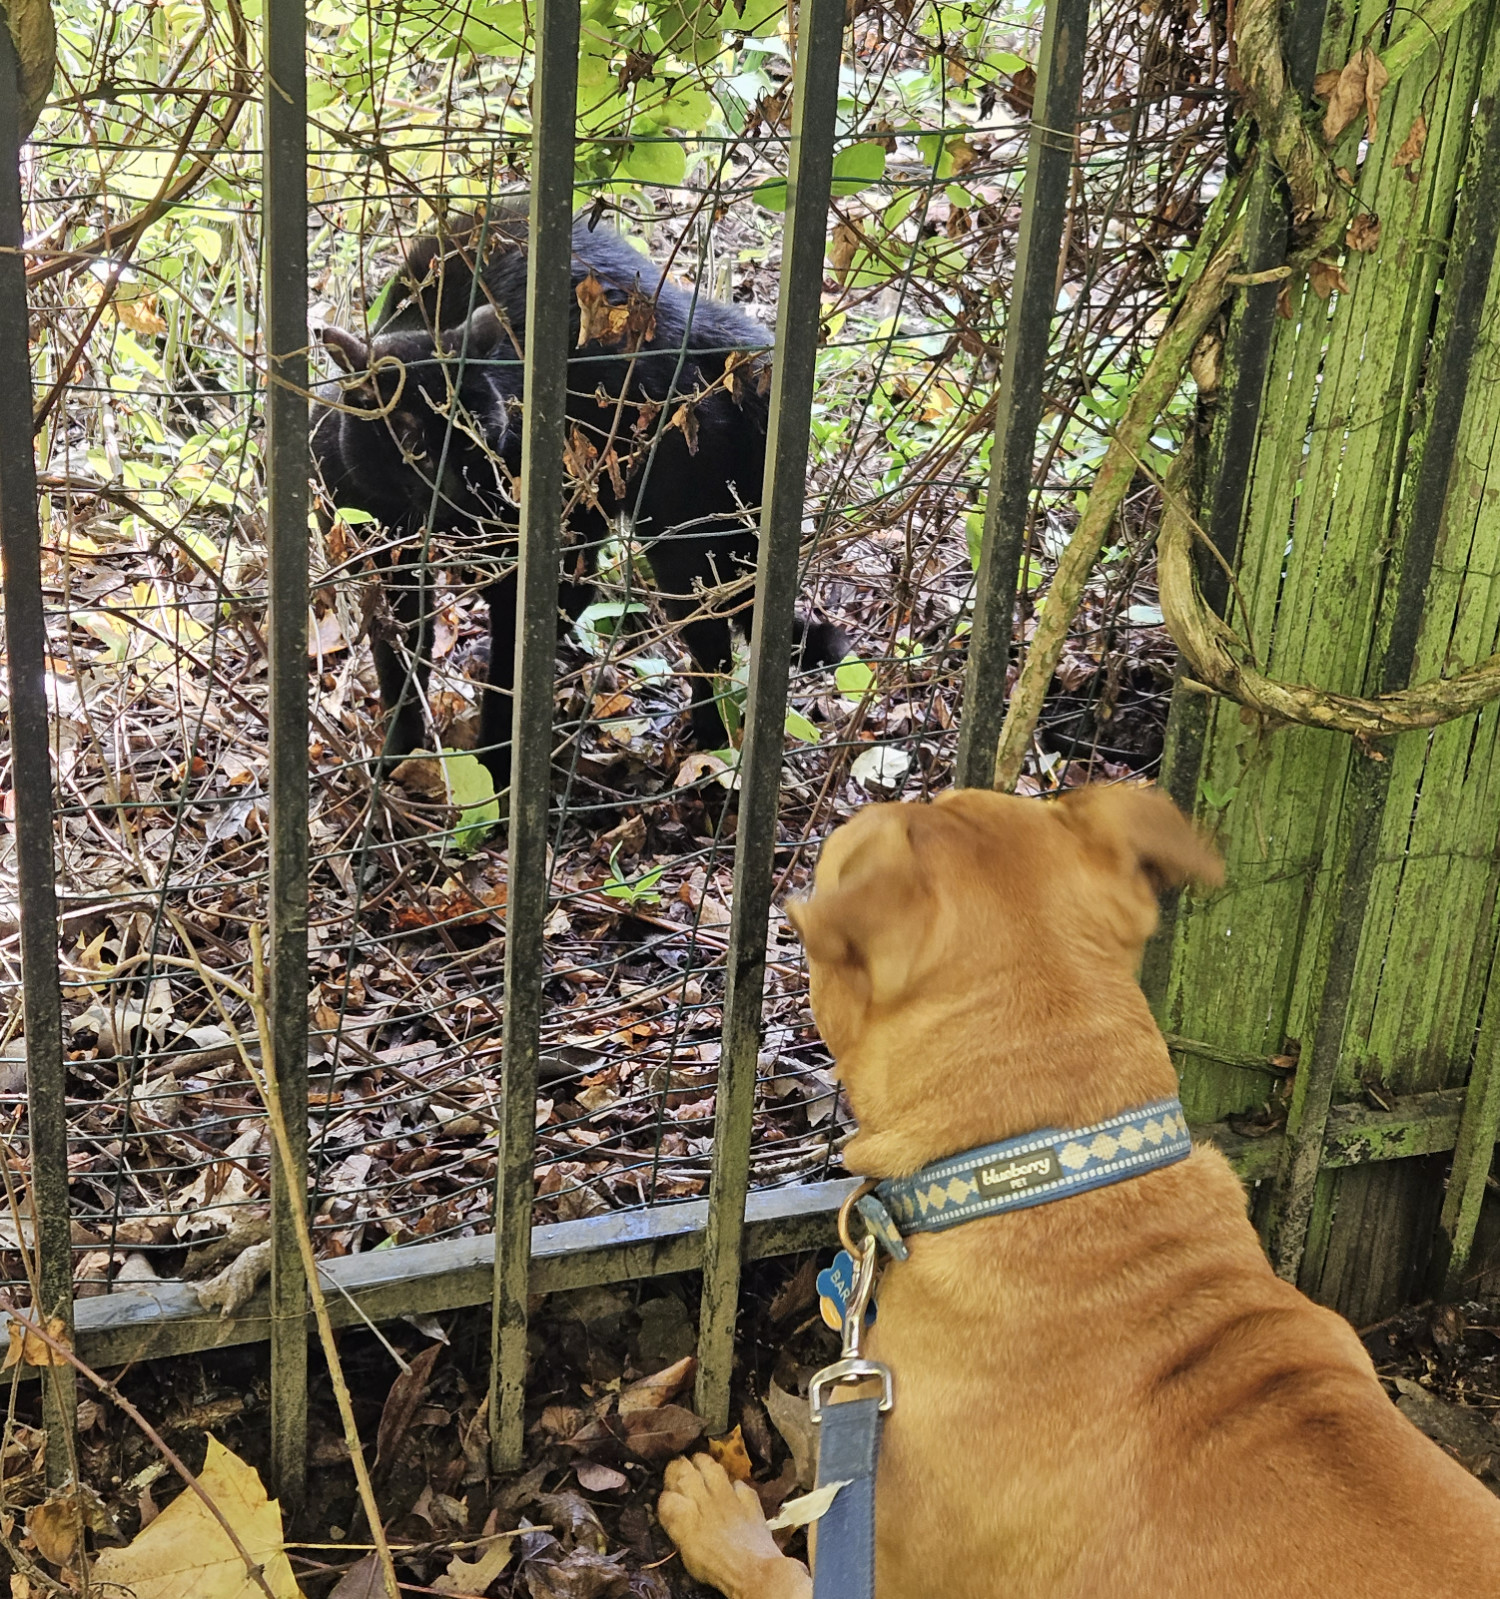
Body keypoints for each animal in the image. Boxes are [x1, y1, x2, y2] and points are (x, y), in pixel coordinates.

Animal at [310, 209, 844, 789]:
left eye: (481, 434)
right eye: (415, 447)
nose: (462, 492)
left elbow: (512, 670)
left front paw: (496, 771)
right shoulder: (384, 565)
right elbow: (401, 661)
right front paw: (399, 754)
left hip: (680, 537)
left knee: (709, 643)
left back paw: (709, 747)